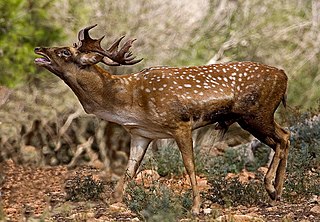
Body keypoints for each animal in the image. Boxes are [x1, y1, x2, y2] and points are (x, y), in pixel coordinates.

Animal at [35, 23, 290, 213]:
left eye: (65, 52)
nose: (39, 50)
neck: (128, 101)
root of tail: (284, 75)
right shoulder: (141, 134)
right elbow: (130, 171)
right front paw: (115, 200)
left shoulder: (180, 124)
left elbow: (189, 165)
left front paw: (196, 207)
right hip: (258, 116)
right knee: (285, 135)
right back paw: (277, 191)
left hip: (255, 114)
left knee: (282, 138)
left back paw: (271, 188)